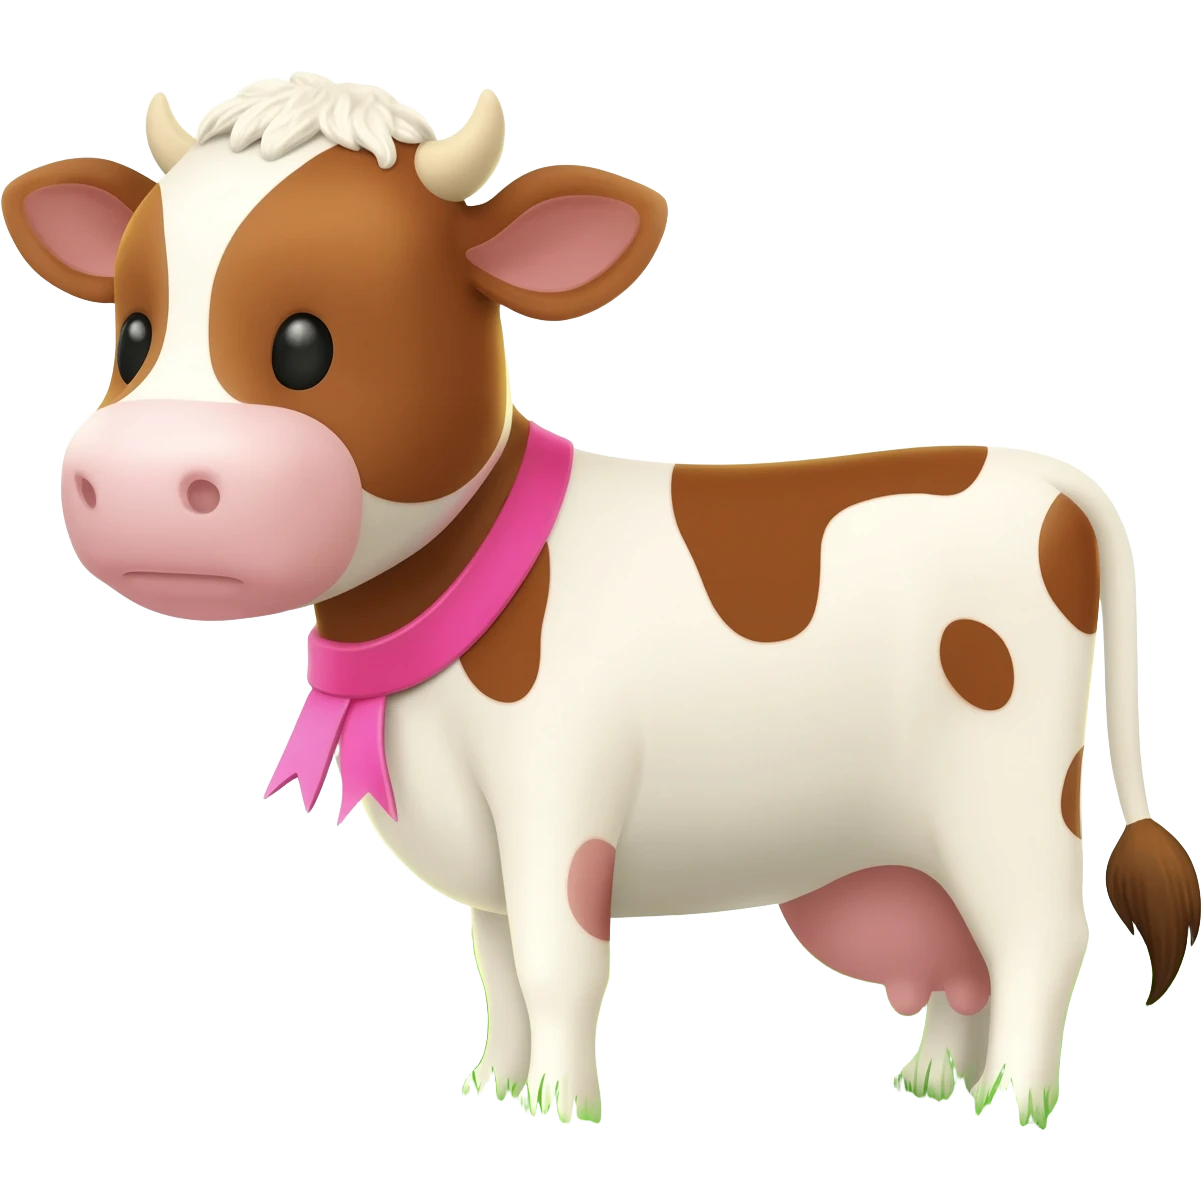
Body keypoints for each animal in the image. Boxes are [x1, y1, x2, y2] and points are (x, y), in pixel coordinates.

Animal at [8, 74, 1197, 1130]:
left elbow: (557, 959)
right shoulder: (480, 847)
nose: (142, 481)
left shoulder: (558, 792)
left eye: (306, 344)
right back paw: (933, 1079)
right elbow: (497, 967)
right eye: (132, 335)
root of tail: (1046, 477)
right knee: (959, 956)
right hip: (917, 843)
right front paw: (494, 1087)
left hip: (1009, 793)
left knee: (1038, 936)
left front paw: (561, 1104)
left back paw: (1013, 1099)